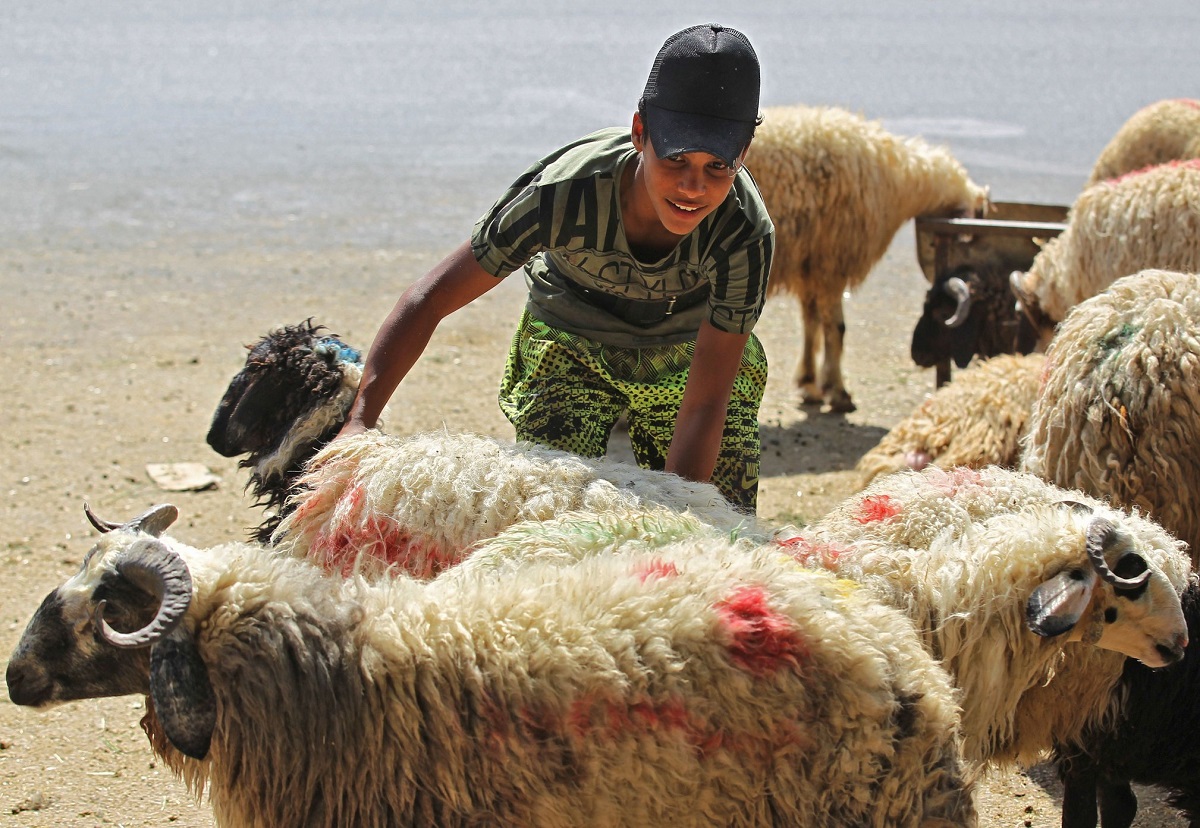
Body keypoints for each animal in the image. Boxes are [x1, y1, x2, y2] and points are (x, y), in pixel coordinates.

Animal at [749, 104, 989, 412]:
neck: (898, 181)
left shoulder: (813, 265)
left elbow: (812, 325)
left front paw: (810, 384)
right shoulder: (834, 261)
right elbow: (836, 330)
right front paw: (838, 392)